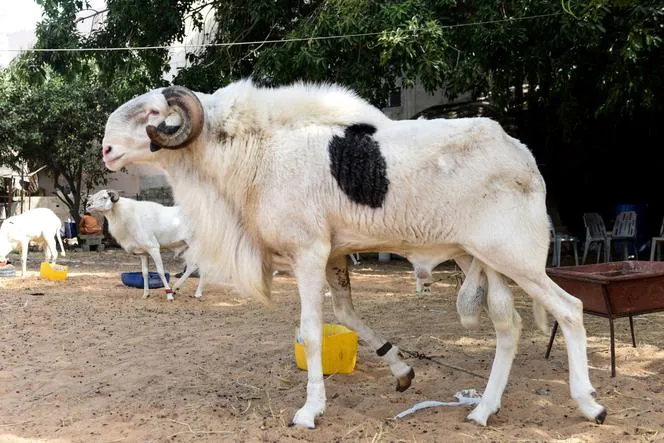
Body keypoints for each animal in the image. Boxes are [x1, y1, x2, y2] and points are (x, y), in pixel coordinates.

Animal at [100, 80, 606, 428]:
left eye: (153, 112)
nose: (104, 150)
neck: (253, 147)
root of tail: (523, 155)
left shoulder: (307, 253)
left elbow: (310, 332)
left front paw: (309, 411)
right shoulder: (334, 257)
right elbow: (346, 314)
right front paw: (401, 369)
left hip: (518, 257)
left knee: (570, 309)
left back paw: (589, 404)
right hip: (481, 259)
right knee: (509, 325)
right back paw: (483, 410)